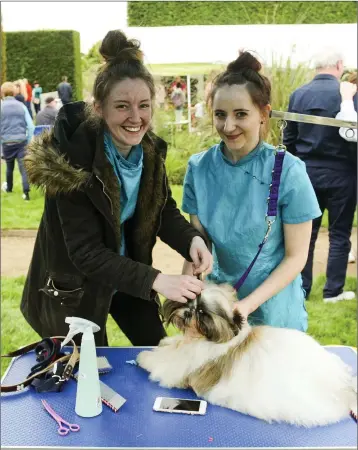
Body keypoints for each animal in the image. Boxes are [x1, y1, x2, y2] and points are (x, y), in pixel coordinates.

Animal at [136, 284, 356, 428]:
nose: (188, 312)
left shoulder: (179, 366)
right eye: (188, 301)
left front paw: (143, 356)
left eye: (202, 313)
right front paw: (166, 342)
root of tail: (344, 386)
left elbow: (160, 362)